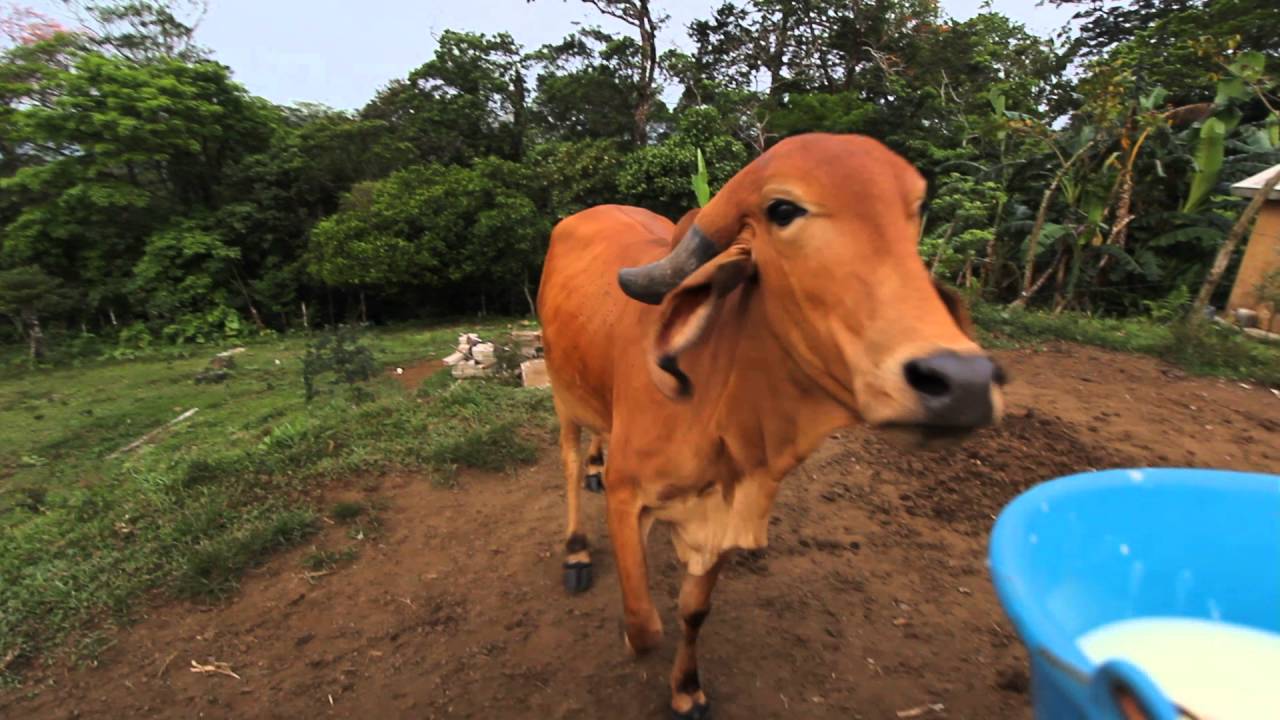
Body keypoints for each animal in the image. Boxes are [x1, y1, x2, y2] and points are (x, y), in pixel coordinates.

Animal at [535, 132, 1006, 719]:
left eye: (916, 211)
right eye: (783, 209)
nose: (962, 380)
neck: (717, 391)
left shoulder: (725, 505)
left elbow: (693, 610)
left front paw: (686, 688)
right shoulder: (629, 496)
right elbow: (643, 626)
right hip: (562, 392)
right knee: (569, 461)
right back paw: (576, 544)